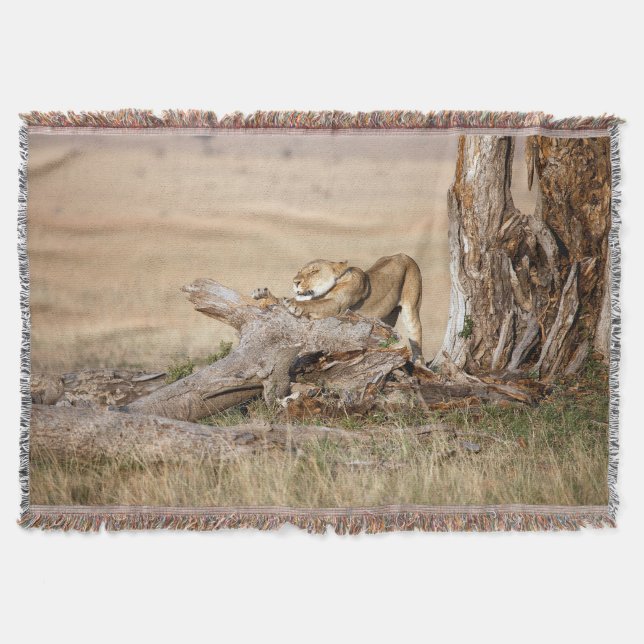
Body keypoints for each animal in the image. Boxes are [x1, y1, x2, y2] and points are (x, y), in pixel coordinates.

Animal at [252, 253, 424, 363]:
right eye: (299, 271)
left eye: (314, 271)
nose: (295, 282)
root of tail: (403, 254)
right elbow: (281, 300)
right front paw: (263, 294)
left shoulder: (337, 306)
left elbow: (311, 304)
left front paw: (294, 305)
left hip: (412, 308)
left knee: (416, 336)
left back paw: (419, 363)